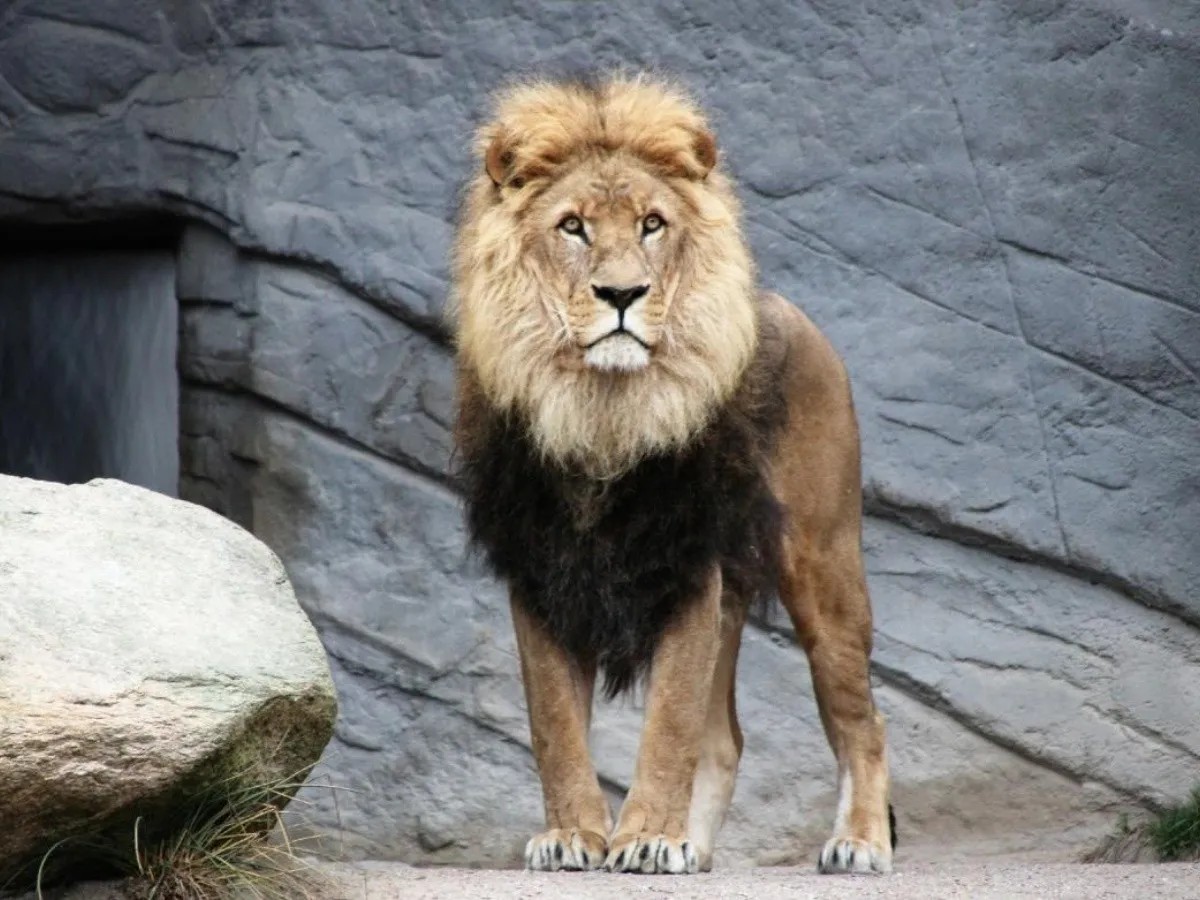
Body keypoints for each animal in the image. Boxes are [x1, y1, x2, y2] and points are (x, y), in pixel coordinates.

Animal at [450, 74, 894, 876]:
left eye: (652, 224)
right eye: (573, 227)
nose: (622, 294)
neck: (601, 412)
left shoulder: (687, 563)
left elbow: (668, 727)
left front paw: (649, 836)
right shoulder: (539, 569)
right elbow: (555, 725)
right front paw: (574, 835)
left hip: (824, 565)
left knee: (863, 720)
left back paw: (858, 843)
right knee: (726, 741)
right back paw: (699, 846)